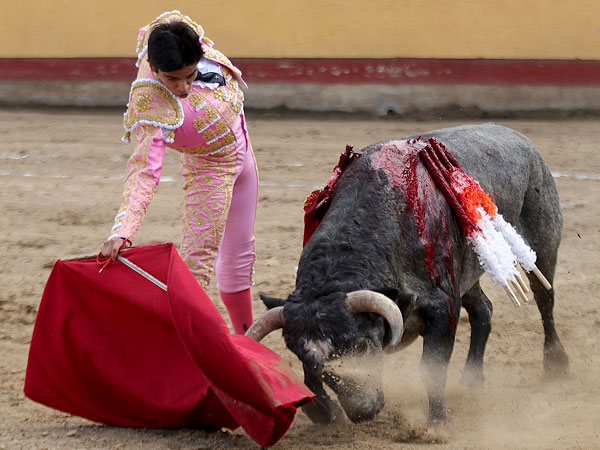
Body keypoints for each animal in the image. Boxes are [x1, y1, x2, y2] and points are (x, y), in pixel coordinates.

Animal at [246, 123, 568, 428]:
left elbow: (431, 369)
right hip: (465, 273)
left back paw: (557, 364)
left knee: (545, 298)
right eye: (307, 357)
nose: (363, 412)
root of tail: (521, 140)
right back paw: (471, 380)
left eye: (362, 344)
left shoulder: (442, 305)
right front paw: (326, 415)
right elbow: (309, 381)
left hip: (541, 242)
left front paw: (438, 425)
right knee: (483, 311)